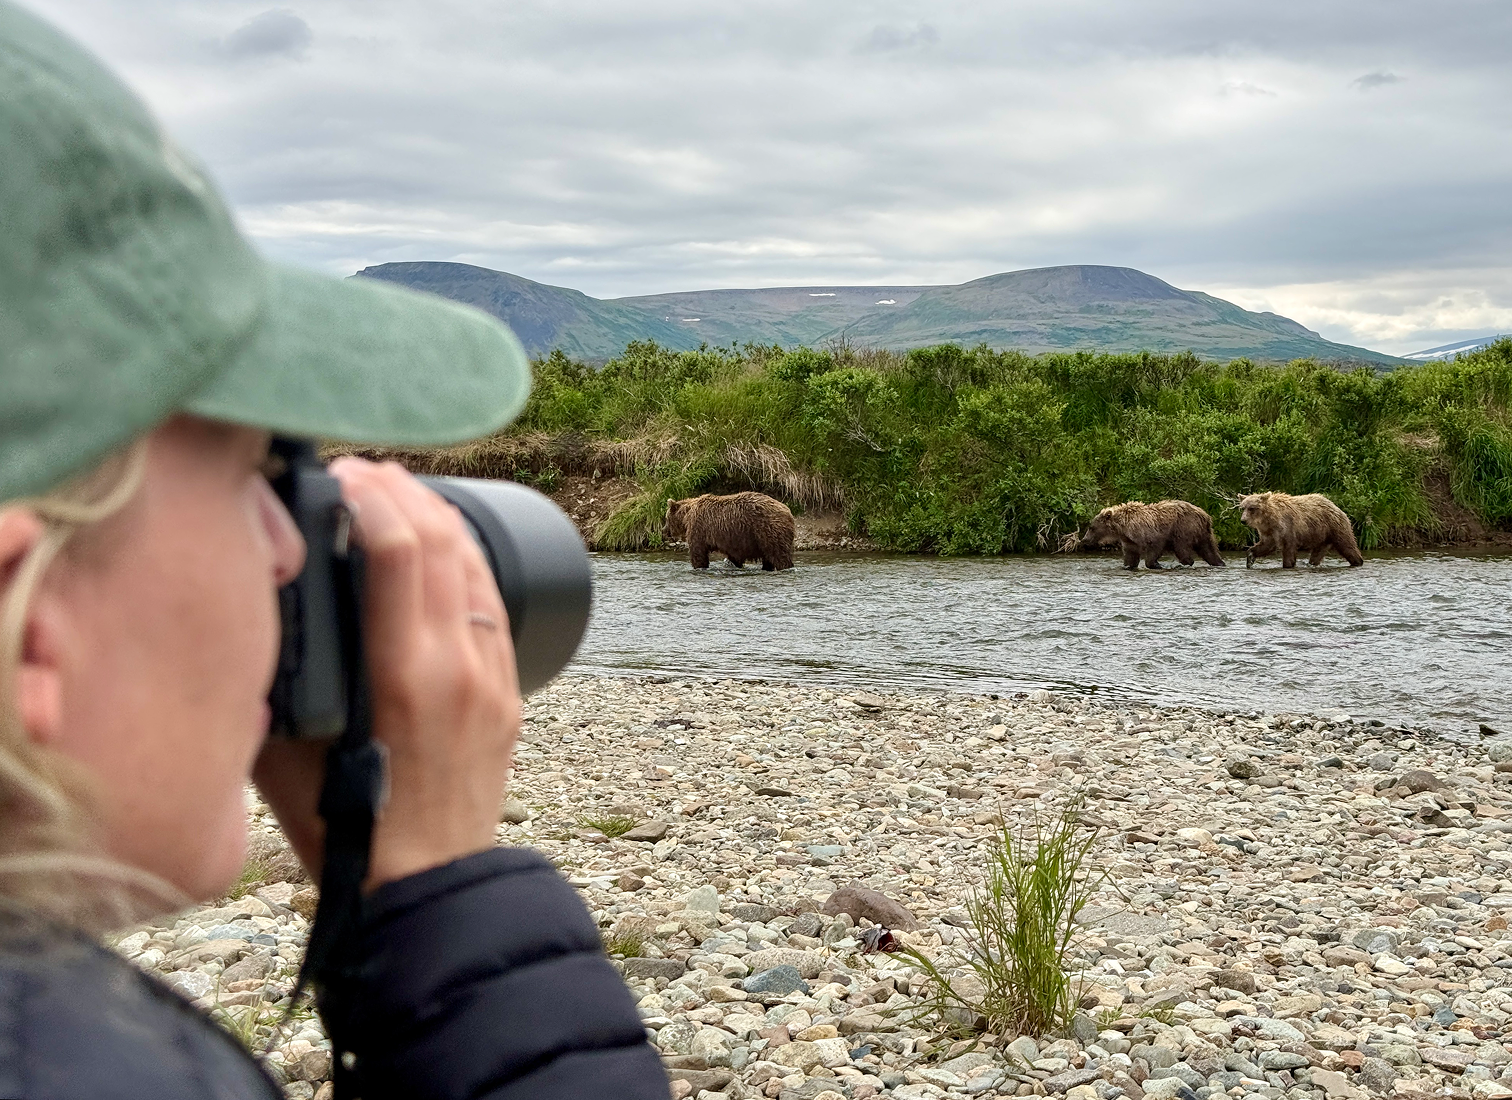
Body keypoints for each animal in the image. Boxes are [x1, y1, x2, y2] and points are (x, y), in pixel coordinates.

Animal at [663, 491, 796, 571]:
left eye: (666, 518)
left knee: (779, 555)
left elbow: (698, 552)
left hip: (768, 530)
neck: (686, 516)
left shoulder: (699, 528)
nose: (663, 531)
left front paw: (699, 566)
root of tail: (788, 512)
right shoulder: (733, 541)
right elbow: (734, 557)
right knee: (768, 558)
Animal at [1078, 499, 1225, 570]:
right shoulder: (1130, 542)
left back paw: (1187, 562)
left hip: (1183, 528)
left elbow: (1155, 548)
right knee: (1208, 549)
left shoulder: (1152, 534)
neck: (1123, 529)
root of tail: (1205, 515)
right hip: (1203, 533)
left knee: (1182, 548)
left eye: (1091, 527)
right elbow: (1130, 556)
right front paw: (1128, 565)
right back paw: (1219, 563)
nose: (1084, 539)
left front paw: (1156, 564)